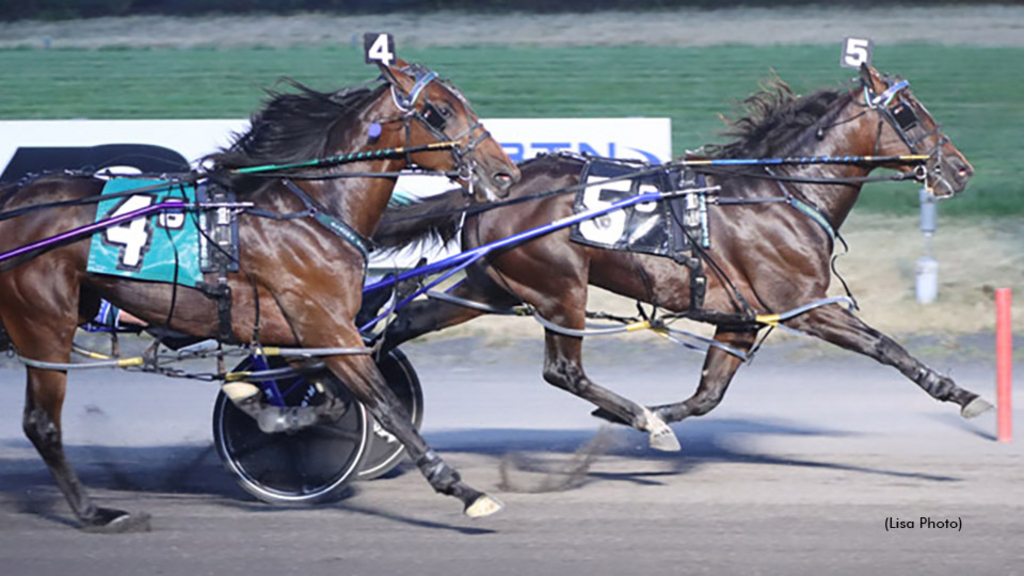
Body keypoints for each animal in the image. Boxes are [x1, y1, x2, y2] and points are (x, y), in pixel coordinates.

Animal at [0, 58, 520, 528]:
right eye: (440, 111)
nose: (504, 174)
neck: (310, 212)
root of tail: (13, 202)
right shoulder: (328, 329)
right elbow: (386, 407)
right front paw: (466, 491)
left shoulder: (297, 332)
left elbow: (319, 394)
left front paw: (256, 404)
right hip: (45, 323)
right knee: (42, 423)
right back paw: (95, 513)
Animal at [380, 63, 987, 448]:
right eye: (907, 113)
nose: (961, 168)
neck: (784, 193)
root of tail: (494, 187)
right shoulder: (804, 306)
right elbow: (886, 346)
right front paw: (959, 393)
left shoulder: (742, 318)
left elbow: (707, 395)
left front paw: (652, 413)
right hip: (558, 290)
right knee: (562, 371)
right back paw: (641, 417)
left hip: (492, 286)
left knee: (403, 324)